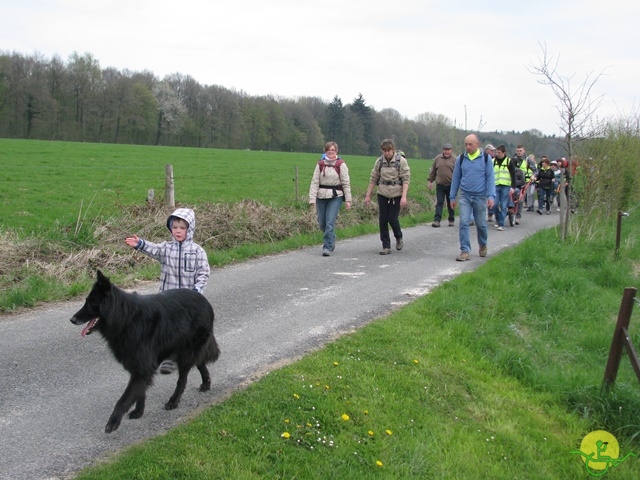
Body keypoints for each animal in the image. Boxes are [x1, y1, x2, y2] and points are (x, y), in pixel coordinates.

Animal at [69, 272, 220, 434]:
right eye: (86, 301)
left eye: (91, 303)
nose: (72, 319)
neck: (125, 318)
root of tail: (204, 300)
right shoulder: (138, 367)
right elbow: (140, 392)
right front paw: (139, 412)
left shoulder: (142, 367)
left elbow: (124, 398)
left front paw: (113, 421)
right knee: (200, 362)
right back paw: (206, 383)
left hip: (185, 353)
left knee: (183, 379)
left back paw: (174, 401)